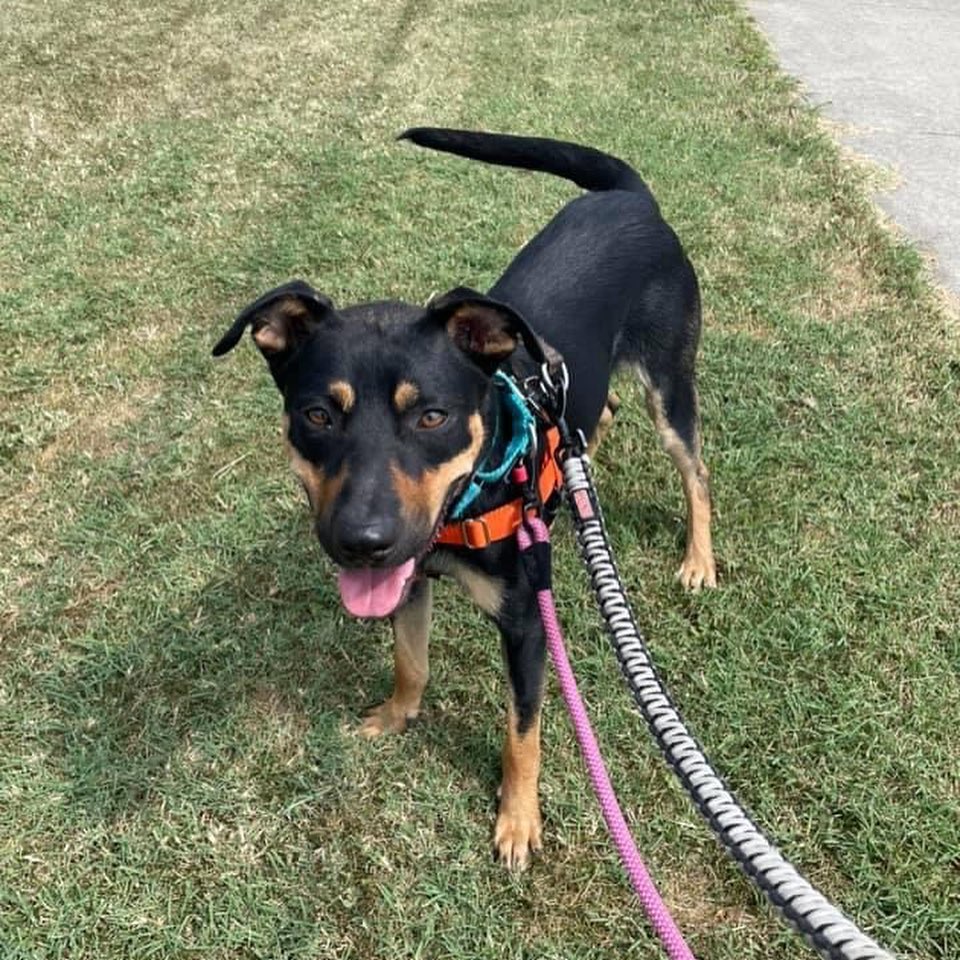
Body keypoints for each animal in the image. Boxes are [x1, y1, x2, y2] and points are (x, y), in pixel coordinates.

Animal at [214, 127, 716, 872]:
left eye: (431, 416)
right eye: (317, 415)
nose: (361, 542)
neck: (468, 502)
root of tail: (629, 197)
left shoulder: (528, 623)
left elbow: (522, 730)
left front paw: (518, 819)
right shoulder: (409, 578)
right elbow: (409, 660)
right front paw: (396, 717)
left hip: (670, 381)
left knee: (695, 470)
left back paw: (699, 559)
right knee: (598, 414)